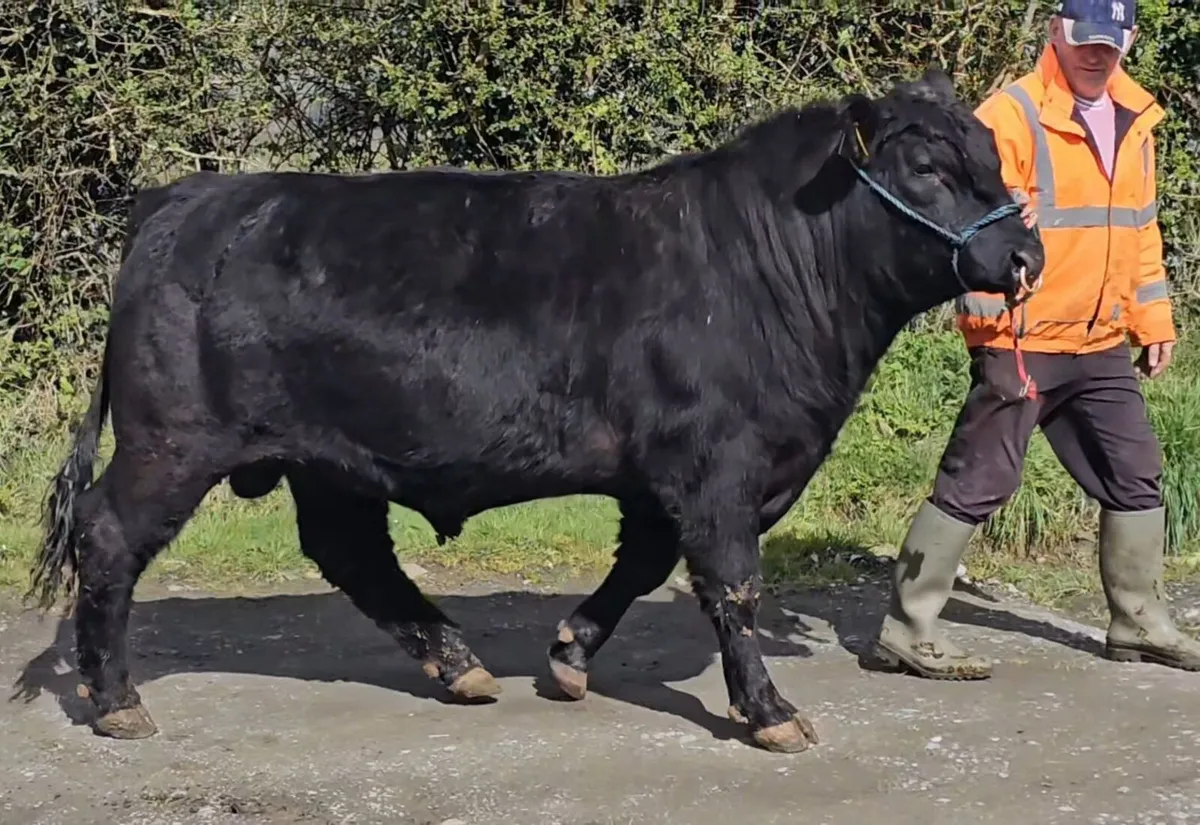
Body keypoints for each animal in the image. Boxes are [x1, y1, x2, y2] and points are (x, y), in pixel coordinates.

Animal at [27, 67, 1043, 754]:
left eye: (993, 155)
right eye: (926, 167)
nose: (1026, 255)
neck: (764, 263)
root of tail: (184, 197)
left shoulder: (667, 475)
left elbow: (642, 565)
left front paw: (569, 655)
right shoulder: (718, 464)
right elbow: (731, 585)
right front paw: (769, 712)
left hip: (328, 457)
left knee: (350, 550)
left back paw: (457, 661)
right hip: (170, 441)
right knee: (108, 536)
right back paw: (116, 700)